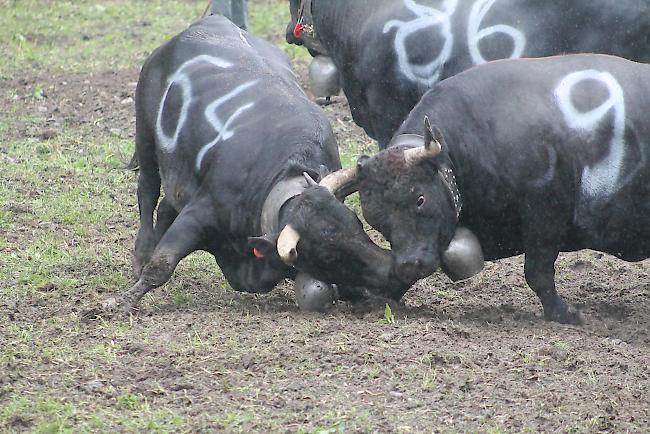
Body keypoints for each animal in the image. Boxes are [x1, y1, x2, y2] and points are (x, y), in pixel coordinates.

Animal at [104, 15, 412, 314]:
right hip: (145, 138)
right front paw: (118, 302)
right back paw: (142, 255)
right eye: (327, 256)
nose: (391, 272)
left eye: (356, 225)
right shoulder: (201, 212)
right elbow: (162, 264)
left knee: (167, 205)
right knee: (147, 193)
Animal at [352, 54, 648, 324]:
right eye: (375, 219)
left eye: (420, 199)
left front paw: (563, 313)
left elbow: (537, 273)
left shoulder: (544, 214)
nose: (409, 263)